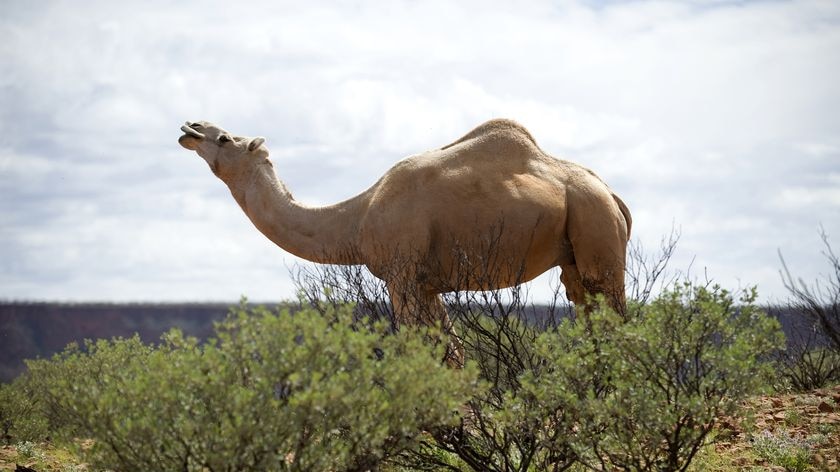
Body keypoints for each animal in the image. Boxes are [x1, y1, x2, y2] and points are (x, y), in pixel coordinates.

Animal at [180, 118, 632, 366]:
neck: (358, 218)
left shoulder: (402, 274)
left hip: (594, 226)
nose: (191, 129)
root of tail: (614, 197)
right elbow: (453, 353)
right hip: (576, 253)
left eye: (226, 139)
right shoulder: (427, 283)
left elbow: (422, 352)